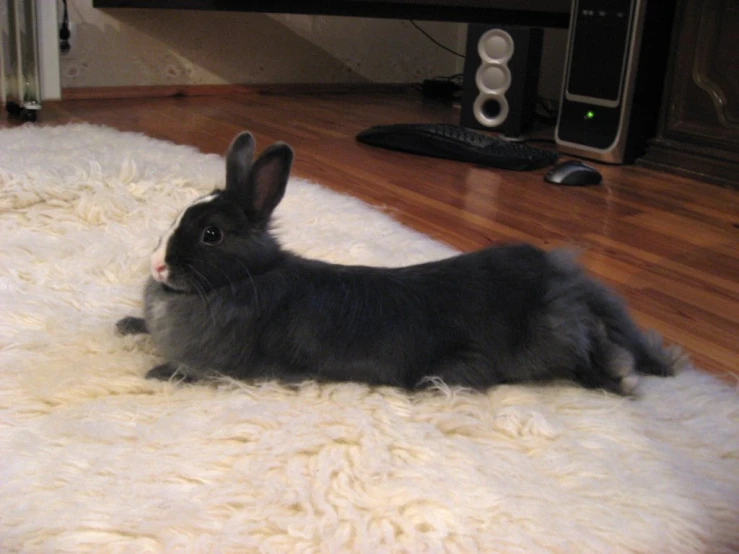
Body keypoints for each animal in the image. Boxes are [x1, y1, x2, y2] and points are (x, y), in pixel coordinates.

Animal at [120, 132, 676, 392]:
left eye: (211, 234)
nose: (157, 266)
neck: (247, 277)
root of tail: (559, 276)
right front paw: (126, 325)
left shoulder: (232, 367)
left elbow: (195, 370)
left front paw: (159, 373)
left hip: (548, 340)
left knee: (589, 349)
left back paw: (619, 379)